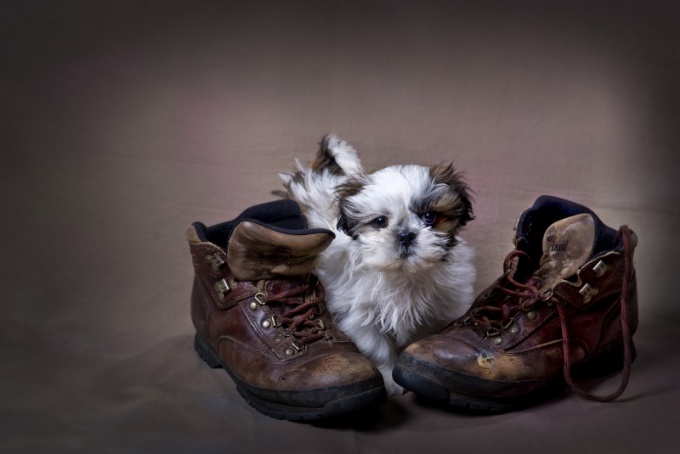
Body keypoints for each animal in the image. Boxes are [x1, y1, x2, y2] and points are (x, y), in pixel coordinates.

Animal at [278, 135, 476, 394]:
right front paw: (390, 377)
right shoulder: (361, 314)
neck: (402, 274)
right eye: (380, 221)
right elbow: (377, 348)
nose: (406, 235)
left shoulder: (440, 309)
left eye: (429, 217)